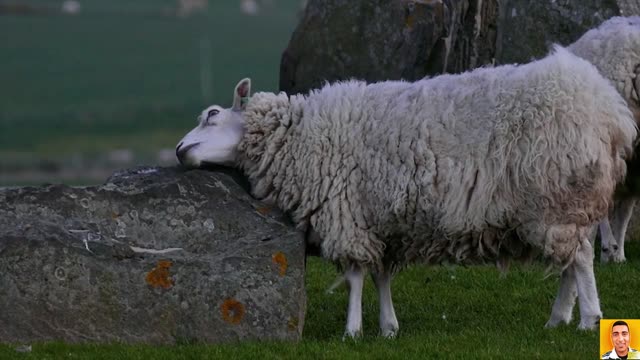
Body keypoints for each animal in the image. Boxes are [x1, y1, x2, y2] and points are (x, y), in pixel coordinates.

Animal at [175, 45, 636, 338]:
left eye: (212, 115)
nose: (179, 150)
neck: (299, 137)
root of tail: (610, 112)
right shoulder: (381, 222)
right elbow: (380, 275)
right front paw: (388, 327)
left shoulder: (347, 214)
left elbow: (355, 276)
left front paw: (352, 331)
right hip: (562, 206)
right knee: (570, 262)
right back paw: (558, 319)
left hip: (556, 197)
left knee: (580, 259)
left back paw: (587, 319)